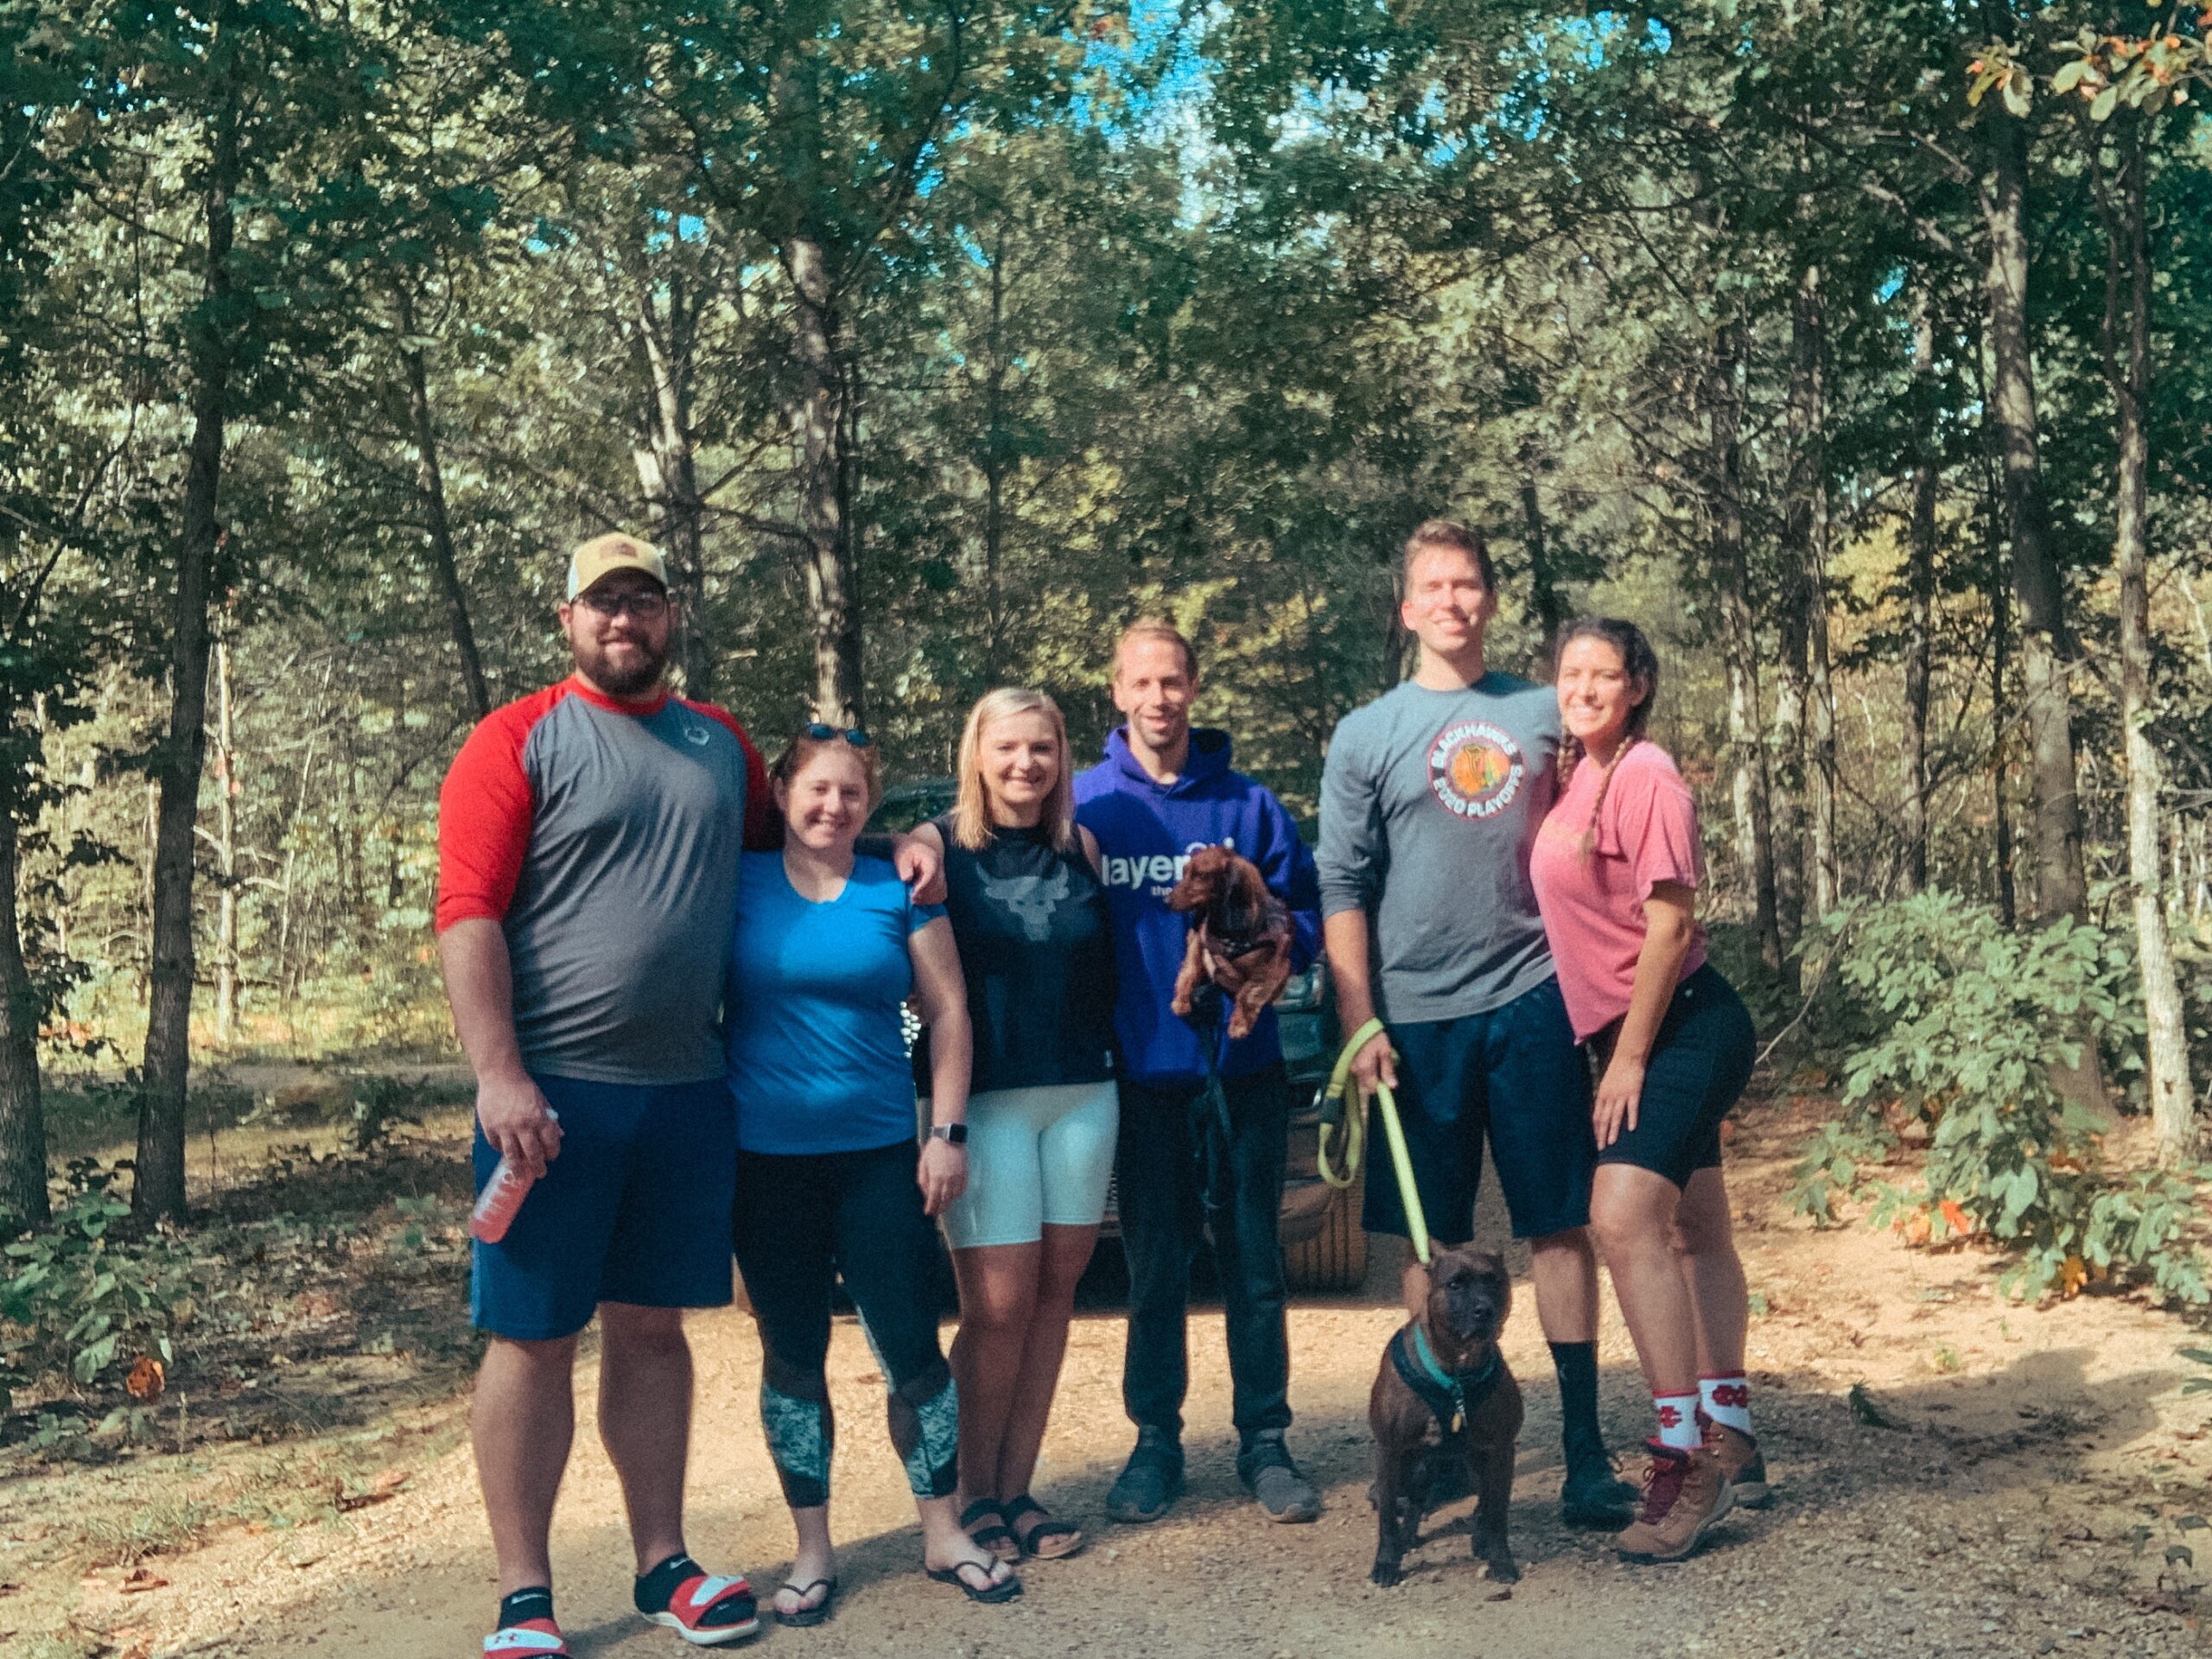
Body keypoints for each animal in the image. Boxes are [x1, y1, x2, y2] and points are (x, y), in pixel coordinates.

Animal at [1362, 1256, 1522, 1592]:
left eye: (1495, 1281)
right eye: (1455, 1283)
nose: (1484, 1309)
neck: (1456, 1372)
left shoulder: (1501, 1452)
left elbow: (1497, 1514)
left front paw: (1500, 1561)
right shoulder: (1388, 1452)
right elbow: (1387, 1520)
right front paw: (1387, 1563)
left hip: (1477, 1465)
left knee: (1483, 1502)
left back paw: (1479, 1537)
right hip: (1410, 1469)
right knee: (1413, 1502)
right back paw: (1407, 1537)